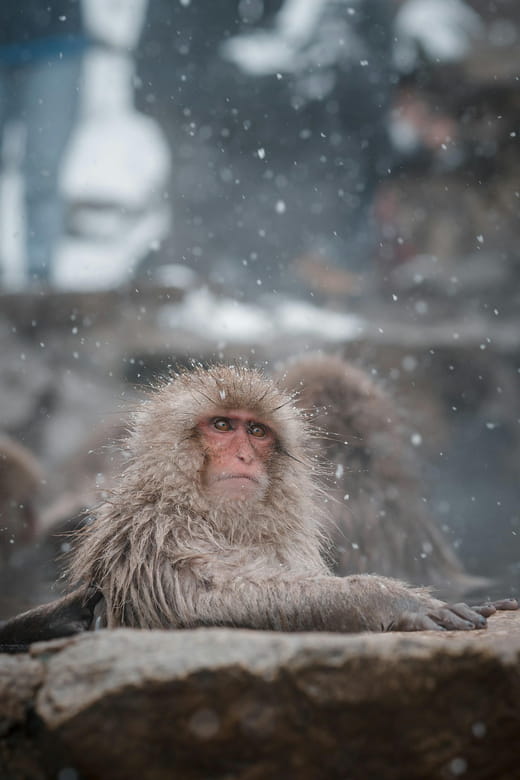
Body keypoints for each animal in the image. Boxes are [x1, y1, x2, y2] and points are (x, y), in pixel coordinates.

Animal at [0, 363, 516, 651]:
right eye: (222, 425)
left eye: (257, 431)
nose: (245, 456)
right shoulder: (154, 532)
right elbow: (204, 603)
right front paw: (388, 599)